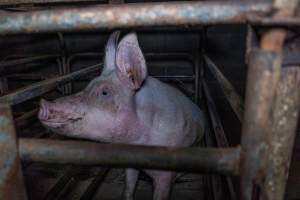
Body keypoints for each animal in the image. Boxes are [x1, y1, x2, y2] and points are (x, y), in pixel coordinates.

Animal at [38, 31, 206, 200]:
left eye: (105, 92)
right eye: (88, 86)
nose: (43, 104)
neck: (137, 144)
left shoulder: (167, 174)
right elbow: (129, 186)